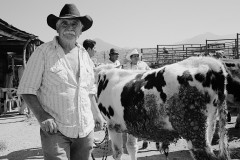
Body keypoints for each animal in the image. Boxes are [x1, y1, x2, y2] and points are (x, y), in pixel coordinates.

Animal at [96, 56, 232, 160]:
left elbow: (117, 153)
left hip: (193, 128)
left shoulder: (112, 124)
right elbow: (131, 148)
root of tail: (211, 62)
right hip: (210, 124)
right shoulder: (130, 125)